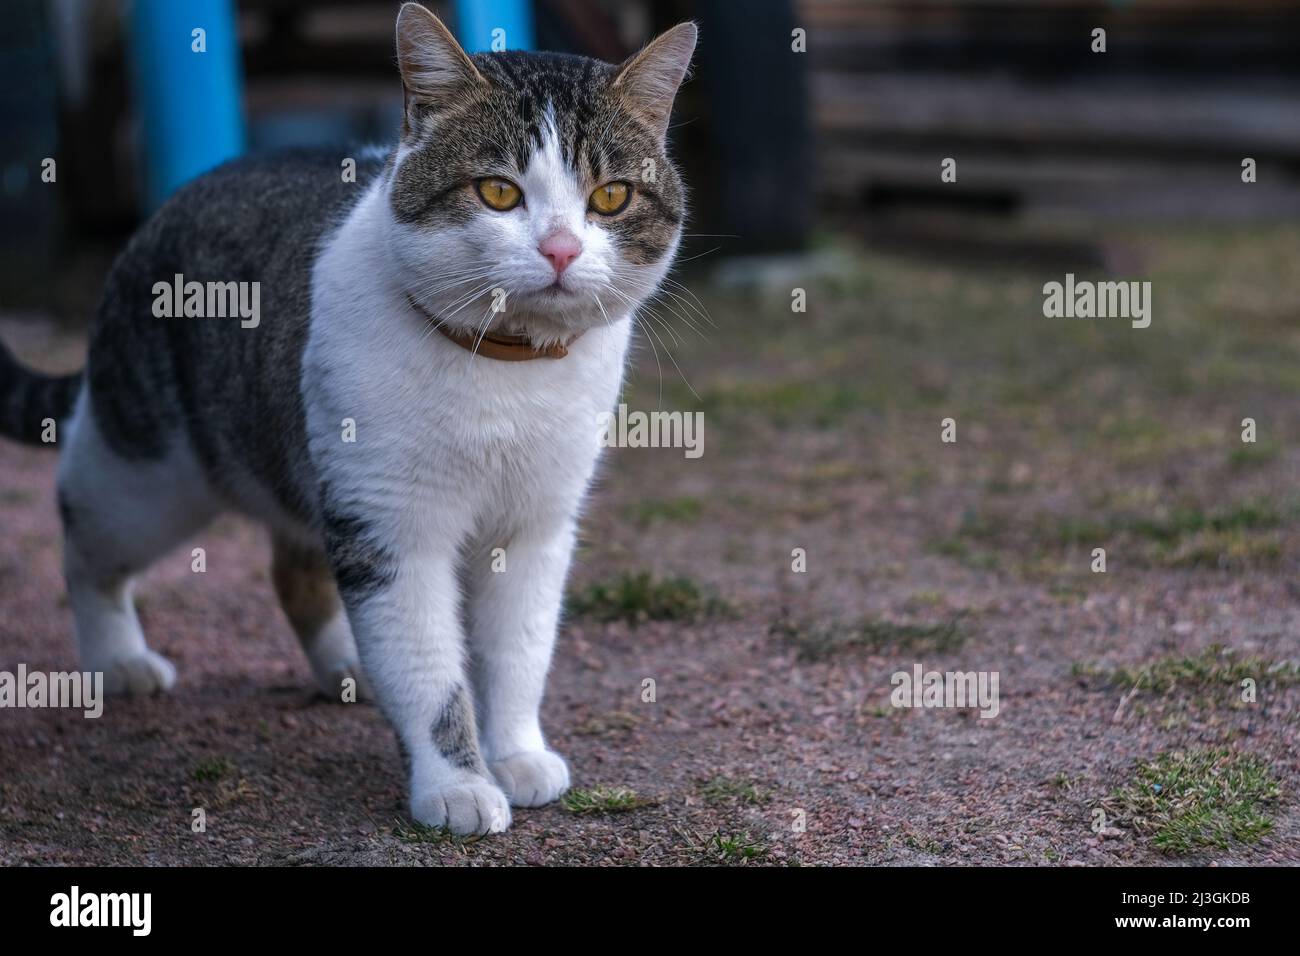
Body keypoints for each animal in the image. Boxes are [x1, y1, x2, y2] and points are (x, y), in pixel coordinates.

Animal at [0, 3, 702, 832]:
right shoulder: (390, 525)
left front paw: (517, 753)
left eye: (611, 198)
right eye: (498, 194)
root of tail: (169, 202)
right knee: (84, 540)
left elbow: (518, 654)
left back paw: (347, 666)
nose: (561, 250)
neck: (505, 369)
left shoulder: (534, 527)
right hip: (145, 477)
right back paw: (117, 660)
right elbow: (429, 669)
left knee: (295, 569)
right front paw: (457, 785)